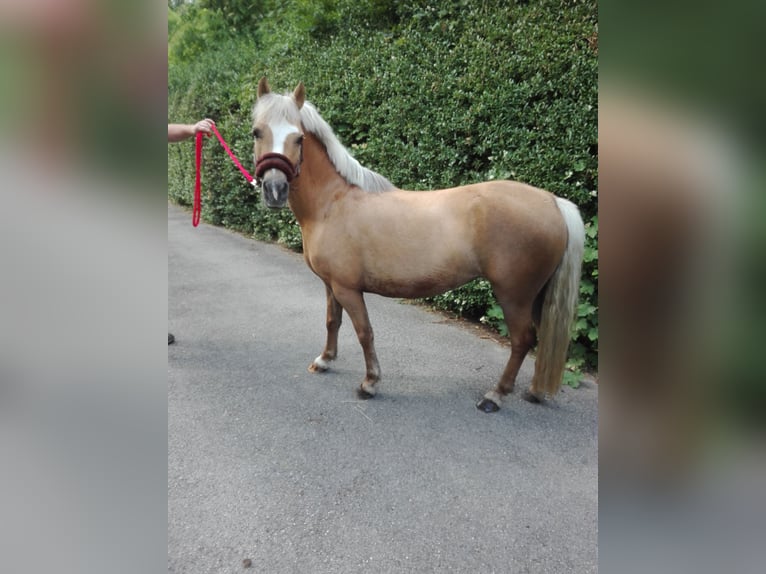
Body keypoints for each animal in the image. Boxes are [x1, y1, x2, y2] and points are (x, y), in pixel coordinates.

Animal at [255, 80, 584, 414]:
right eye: (257, 132)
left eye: (298, 138)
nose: (274, 190)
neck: (333, 203)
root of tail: (552, 201)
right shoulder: (331, 284)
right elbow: (332, 321)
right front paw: (324, 360)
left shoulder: (347, 288)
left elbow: (364, 332)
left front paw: (370, 383)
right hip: (537, 296)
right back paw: (534, 390)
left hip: (514, 295)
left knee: (522, 340)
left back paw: (495, 395)